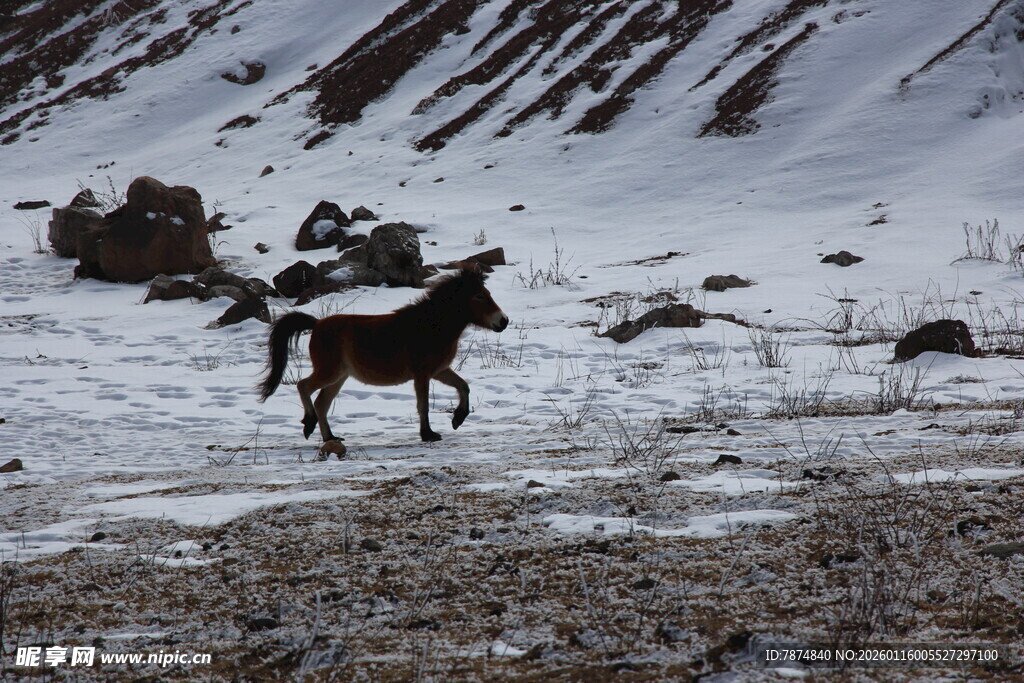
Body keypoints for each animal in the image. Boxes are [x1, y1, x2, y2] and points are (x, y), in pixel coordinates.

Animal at [257, 269, 509, 444]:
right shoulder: (423, 374)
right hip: (330, 372)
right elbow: (423, 405)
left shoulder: (438, 370)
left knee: (321, 403)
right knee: (304, 387)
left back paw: (330, 437)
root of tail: (317, 324)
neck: (431, 325)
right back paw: (308, 425)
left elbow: (463, 386)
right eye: (479, 296)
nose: (503, 321)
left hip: (339, 377)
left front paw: (457, 419)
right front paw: (428, 434)